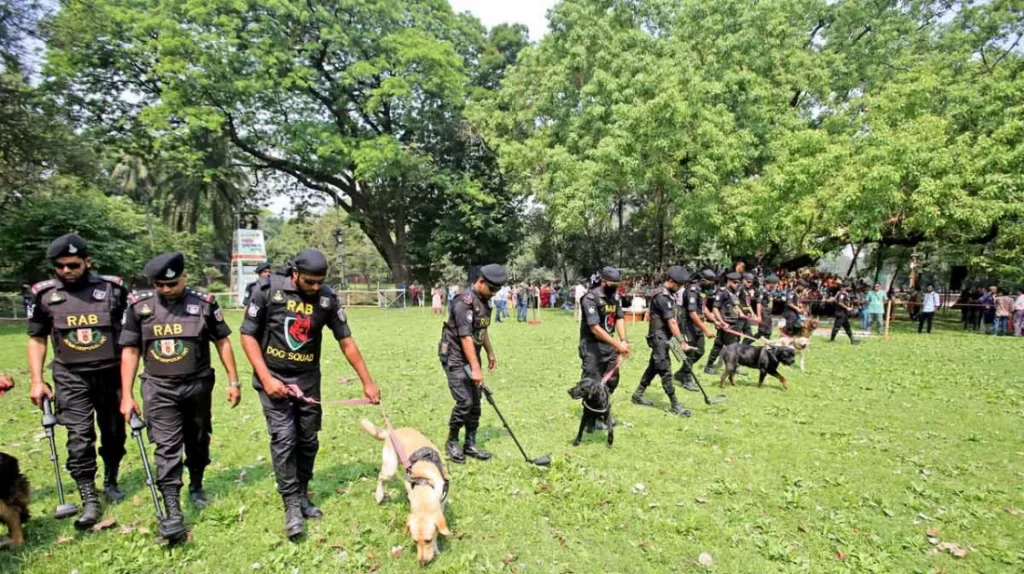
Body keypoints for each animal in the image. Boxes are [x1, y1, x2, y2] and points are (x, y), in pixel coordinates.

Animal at [364, 415, 452, 564]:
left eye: (428, 540)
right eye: (415, 541)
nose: (422, 562)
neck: (424, 484)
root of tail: (391, 433)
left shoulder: (442, 501)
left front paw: (435, 548)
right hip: (390, 468)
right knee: (381, 476)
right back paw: (379, 494)